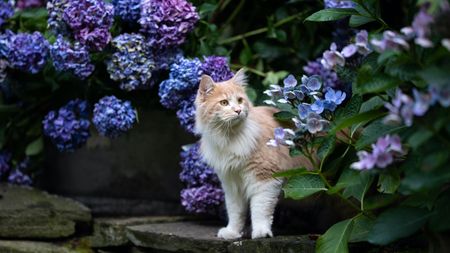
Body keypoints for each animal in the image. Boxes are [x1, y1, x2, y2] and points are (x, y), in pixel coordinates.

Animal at [195, 68, 312, 239]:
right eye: (224, 103)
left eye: (240, 100)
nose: (238, 111)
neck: (230, 138)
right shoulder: (231, 184)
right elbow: (235, 212)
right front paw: (232, 232)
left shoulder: (264, 178)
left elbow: (260, 210)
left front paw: (261, 232)